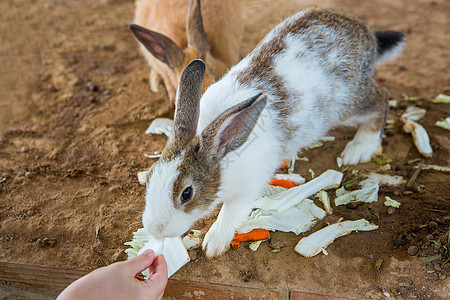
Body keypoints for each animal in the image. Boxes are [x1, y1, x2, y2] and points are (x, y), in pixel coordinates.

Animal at [142, 7, 406, 256]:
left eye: (186, 193)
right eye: (152, 174)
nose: (155, 229)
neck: (222, 152)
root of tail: (366, 34)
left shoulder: (248, 188)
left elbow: (230, 214)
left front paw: (214, 244)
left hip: (349, 106)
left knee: (381, 99)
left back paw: (360, 148)